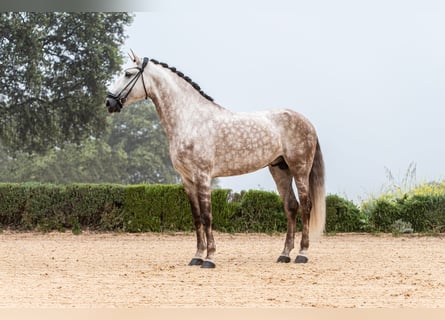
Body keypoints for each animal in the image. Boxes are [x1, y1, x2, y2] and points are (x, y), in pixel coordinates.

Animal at [106, 51, 324, 268]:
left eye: (127, 74)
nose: (109, 102)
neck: (190, 120)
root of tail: (307, 122)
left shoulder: (203, 176)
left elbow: (207, 216)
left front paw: (209, 258)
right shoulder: (187, 179)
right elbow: (196, 218)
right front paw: (197, 256)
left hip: (300, 169)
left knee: (306, 207)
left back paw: (302, 254)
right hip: (279, 169)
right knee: (291, 207)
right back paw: (285, 254)